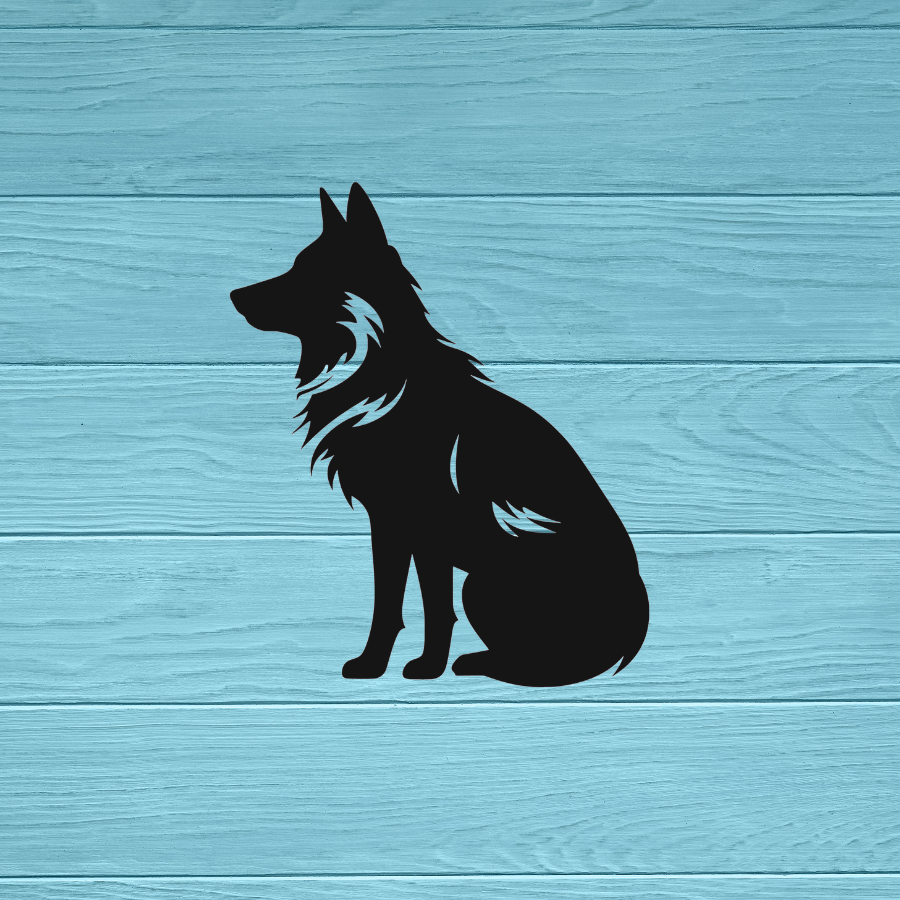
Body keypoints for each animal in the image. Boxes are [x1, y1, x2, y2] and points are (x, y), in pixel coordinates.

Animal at [231, 184, 648, 687]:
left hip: (483, 581)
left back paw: (479, 663)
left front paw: (416, 666)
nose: (233, 295)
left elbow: (420, 607)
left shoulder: (417, 524)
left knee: (557, 660)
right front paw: (391, 665)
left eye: (308, 273)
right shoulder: (395, 524)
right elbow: (403, 604)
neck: (382, 373)